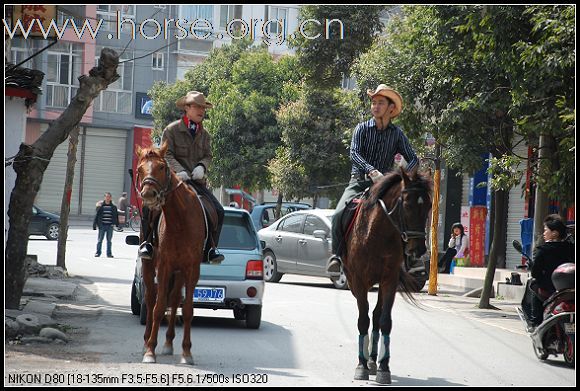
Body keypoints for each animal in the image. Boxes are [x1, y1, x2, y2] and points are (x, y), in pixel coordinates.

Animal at [135, 143, 207, 364]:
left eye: (161, 167)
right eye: (140, 169)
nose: (148, 194)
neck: (180, 220)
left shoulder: (191, 268)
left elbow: (188, 309)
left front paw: (187, 352)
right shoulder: (164, 266)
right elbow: (158, 308)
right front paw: (150, 350)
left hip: (180, 272)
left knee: (175, 300)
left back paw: (168, 342)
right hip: (150, 266)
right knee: (151, 298)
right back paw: (146, 341)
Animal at [344, 167, 430, 384]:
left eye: (428, 206)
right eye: (407, 205)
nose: (418, 249)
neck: (377, 234)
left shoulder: (389, 280)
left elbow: (384, 321)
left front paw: (383, 367)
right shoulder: (359, 281)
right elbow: (362, 320)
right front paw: (361, 365)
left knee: (376, 315)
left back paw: (373, 359)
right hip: (353, 282)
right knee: (367, 315)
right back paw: (366, 359)